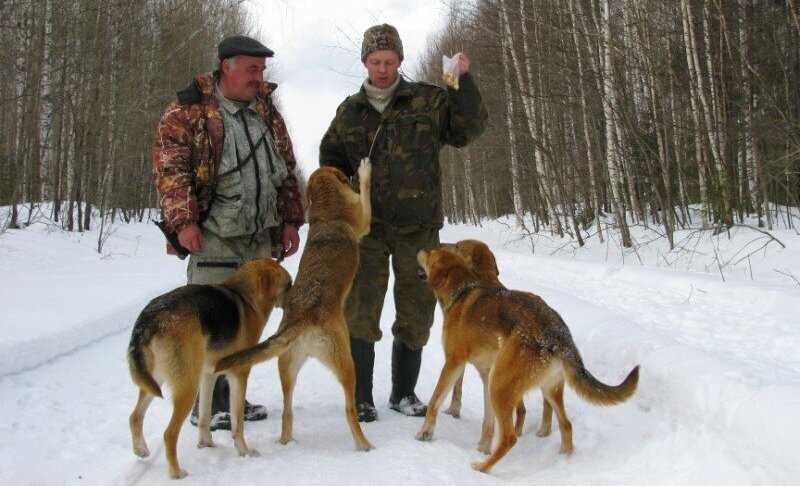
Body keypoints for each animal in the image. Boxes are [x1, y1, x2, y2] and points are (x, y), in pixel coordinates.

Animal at [123, 258, 290, 478]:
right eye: (289, 285)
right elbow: (238, 423)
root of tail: (151, 318)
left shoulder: (209, 375)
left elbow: (204, 416)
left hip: (155, 381)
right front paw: (244, 452)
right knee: (169, 434)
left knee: (135, 417)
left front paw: (206, 444)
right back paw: (176, 473)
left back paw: (141, 449)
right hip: (187, 387)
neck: (246, 298)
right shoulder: (238, 375)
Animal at [212, 161, 376, 454]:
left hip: (286, 367)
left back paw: (286, 441)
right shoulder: (363, 220)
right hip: (346, 363)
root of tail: (303, 320)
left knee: (287, 413)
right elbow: (367, 193)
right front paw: (365, 170)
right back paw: (365, 445)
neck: (327, 209)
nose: (350, 170)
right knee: (349, 411)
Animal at [416, 245, 640, 472]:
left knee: (509, 438)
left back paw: (483, 467)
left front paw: (424, 434)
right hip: (544, 388)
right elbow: (488, 422)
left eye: (432, 252)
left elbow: (434, 402)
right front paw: (483, 447)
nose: (420, 249)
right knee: (566, 425)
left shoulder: (454, 363)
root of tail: (558, 333)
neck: (462, 291)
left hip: (500, 386)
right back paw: (562, 459)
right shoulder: (486, 375)